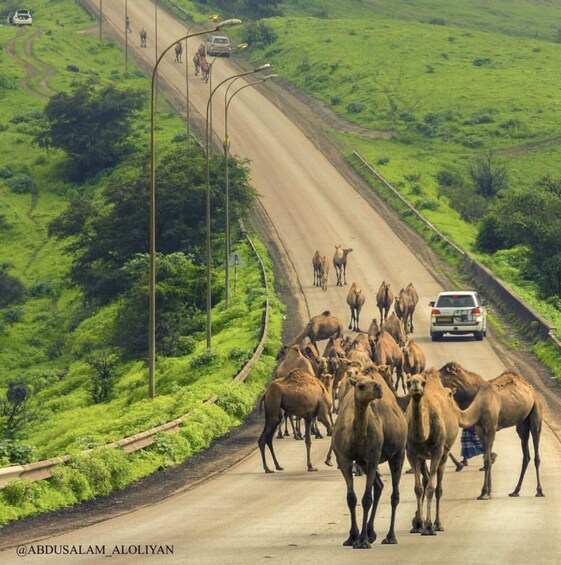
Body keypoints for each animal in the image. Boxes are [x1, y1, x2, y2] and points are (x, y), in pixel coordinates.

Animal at [328, 370, 406, 548]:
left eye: (372, 383)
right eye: (361, 385)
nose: (378, 387)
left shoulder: (372, 457)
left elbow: (366, 499)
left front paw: (362, 540)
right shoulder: (345, 459)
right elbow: (351, 498)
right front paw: (352, 537)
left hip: (398, 453)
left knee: (394, 495)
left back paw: (390, 537)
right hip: (363, 462)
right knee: (379, 485)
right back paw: (371, 533)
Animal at [406, 370, 460, 532]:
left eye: (423, 383)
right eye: (408, 382)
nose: (416, 384)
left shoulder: (437, 451)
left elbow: (431, 488)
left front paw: (429, 526)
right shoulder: (412, 453)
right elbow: (418, 488)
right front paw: (419, 523)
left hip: (444, 455)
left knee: (439, 488)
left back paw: (438, 524)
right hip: (423, 457)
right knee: (425, 480)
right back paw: (419, 522)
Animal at [438, 362, 544, 498]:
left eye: (444, 373)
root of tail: (532, 390)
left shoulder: (491, 428)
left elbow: (487, 460)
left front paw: (484, 493)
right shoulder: (480, 429)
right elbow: (486, 458)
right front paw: (488, 491)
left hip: (536, 412)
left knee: (536, 451)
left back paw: (539, 491)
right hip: (522, 422)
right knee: (526, 454)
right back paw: (515, 491)